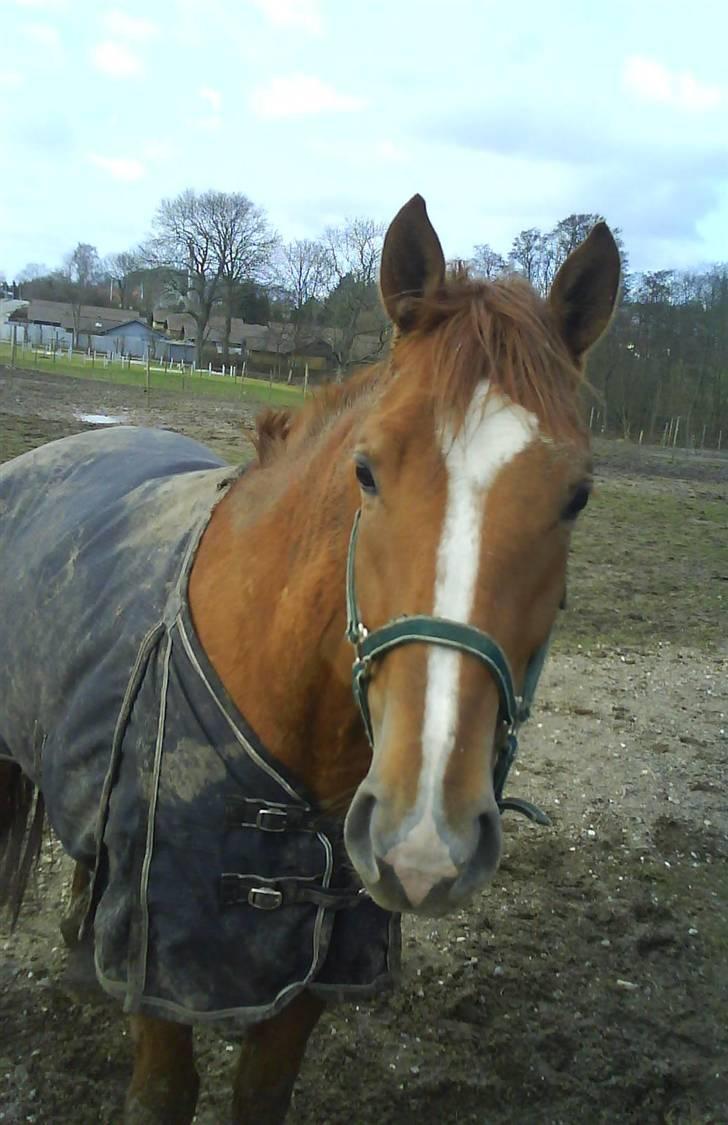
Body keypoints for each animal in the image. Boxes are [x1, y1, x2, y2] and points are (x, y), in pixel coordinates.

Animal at [0, 193, 621, 1116]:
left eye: (576, 496)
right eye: (366, 470)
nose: (423, 835)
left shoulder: (313, 971)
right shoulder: (163, 970)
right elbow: (163, 1089)